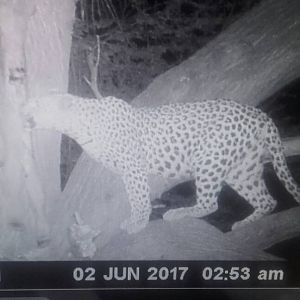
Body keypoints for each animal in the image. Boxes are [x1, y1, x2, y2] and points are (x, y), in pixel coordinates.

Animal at [23, 94, 300, 234]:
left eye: (38, 103)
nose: (23, 111)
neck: (77, 124)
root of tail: (259, 114)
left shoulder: (133, 166)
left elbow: (139, 198)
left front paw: (137, 223)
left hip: (209, 160)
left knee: (210, 203)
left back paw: (177, 213)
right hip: (242, 169)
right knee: (267, 200)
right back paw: (244, 223)